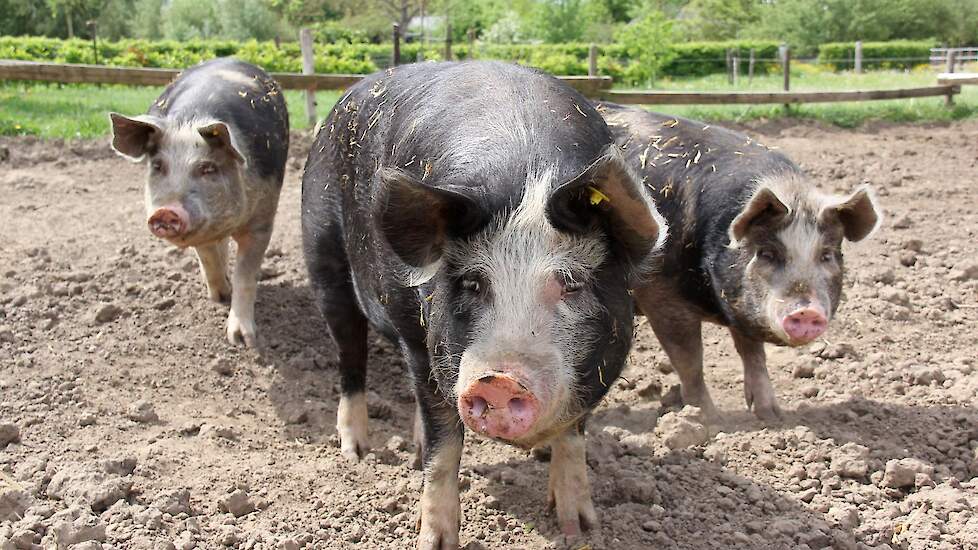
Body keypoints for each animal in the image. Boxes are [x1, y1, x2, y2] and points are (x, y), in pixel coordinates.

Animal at [110, 57, 288, 350]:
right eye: (158, 165)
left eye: (207, 168)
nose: (166, 211)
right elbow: (207, 258)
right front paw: (220, 296)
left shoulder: (263, 219)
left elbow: (246, 275)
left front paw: (243, 341)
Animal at [302, 62, 668, 548]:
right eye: (473, 283)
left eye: (571, 283)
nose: (498, 379)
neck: (527, 173)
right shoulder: (424, 346)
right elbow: (444, 447)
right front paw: (434, 541)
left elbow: (573, 435)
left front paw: (579, 527)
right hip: (323, 258)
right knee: (351, 357)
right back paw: (357, 451)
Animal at [600, 103, 880, 422]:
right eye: (767, 253)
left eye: (827, 255)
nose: (807, 311)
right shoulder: (659, 294)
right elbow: (690, 360)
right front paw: (710, 420)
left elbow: (753, 352)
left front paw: (771, 416)